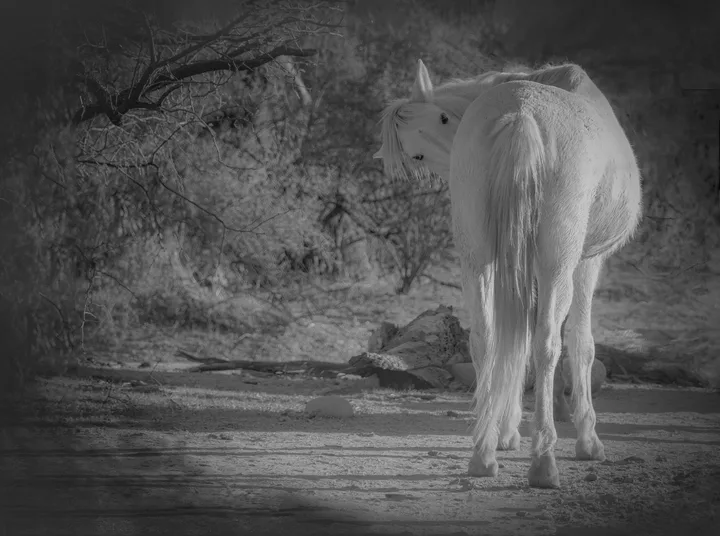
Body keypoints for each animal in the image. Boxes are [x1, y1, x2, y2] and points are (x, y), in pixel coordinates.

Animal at [374, 59, 642, 488]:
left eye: (442, 119)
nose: (418, 153)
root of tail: (522, 114)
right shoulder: (586, 263)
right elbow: (579, 343)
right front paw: (587, 439)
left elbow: (514, 336)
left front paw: (505, 430)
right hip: (558, 263)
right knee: (547, 342)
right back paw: (544, 460)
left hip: (477, 260)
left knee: (485, 339)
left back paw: (483, 453)